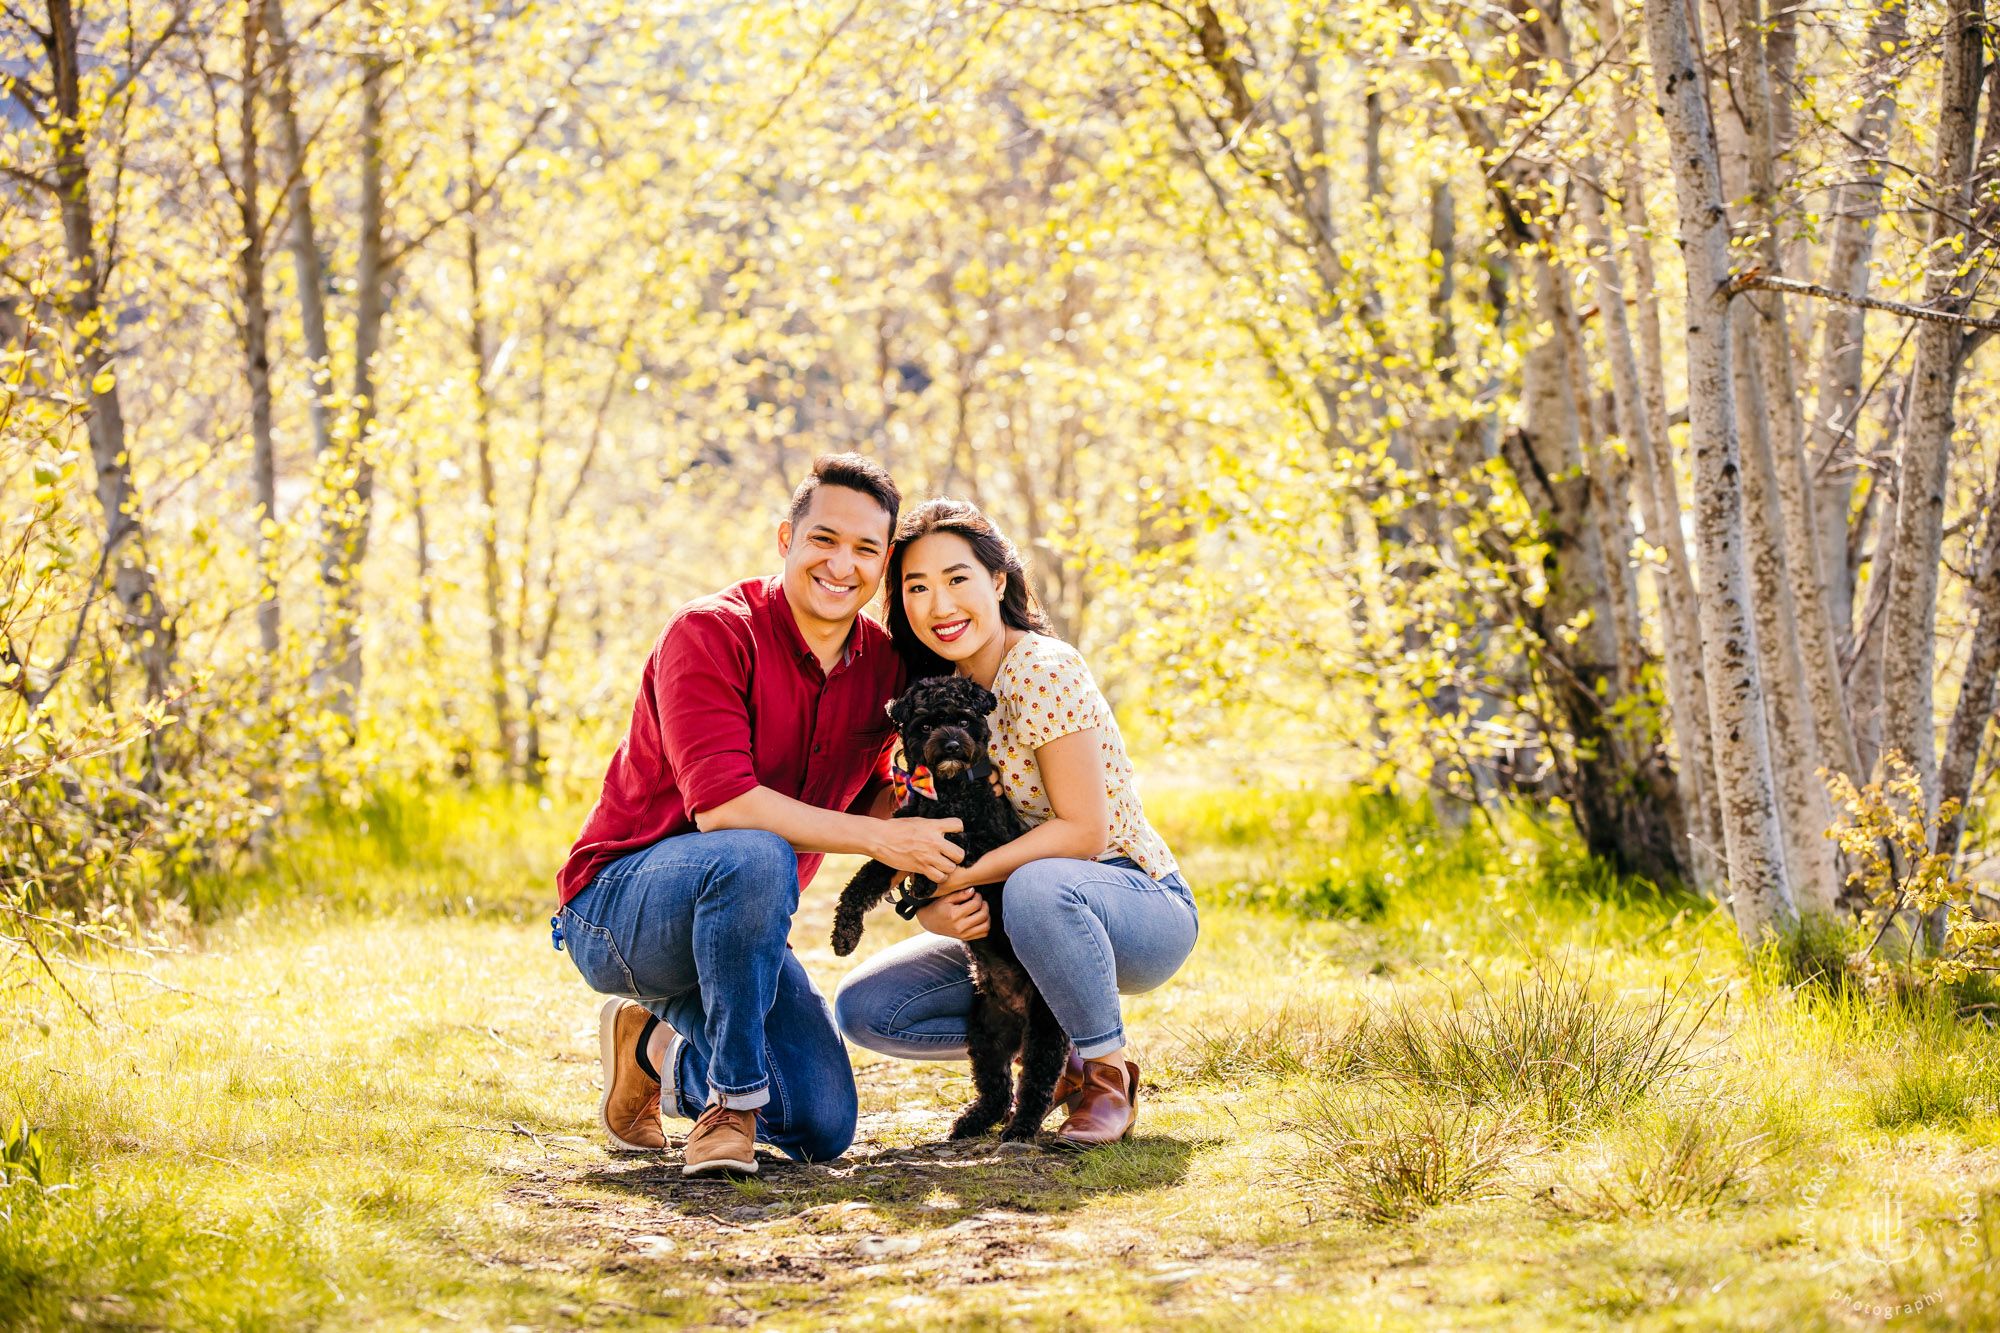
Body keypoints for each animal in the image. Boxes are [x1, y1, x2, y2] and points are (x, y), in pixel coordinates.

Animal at [836, 680, 1072, 1136]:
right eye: (926, 724)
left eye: (964, 719)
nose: (949, 743)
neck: (947, 792)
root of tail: (1017, 1011)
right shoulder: (900, 839)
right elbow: (864, 880)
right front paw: (845, 933)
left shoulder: (989, 838)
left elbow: (954, 843)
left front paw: (926, 879)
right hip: (984, 1035)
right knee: (996, 1086)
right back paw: (973, 1121)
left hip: (1045, 1029)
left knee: (1036, 1081)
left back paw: (1020, 1129)